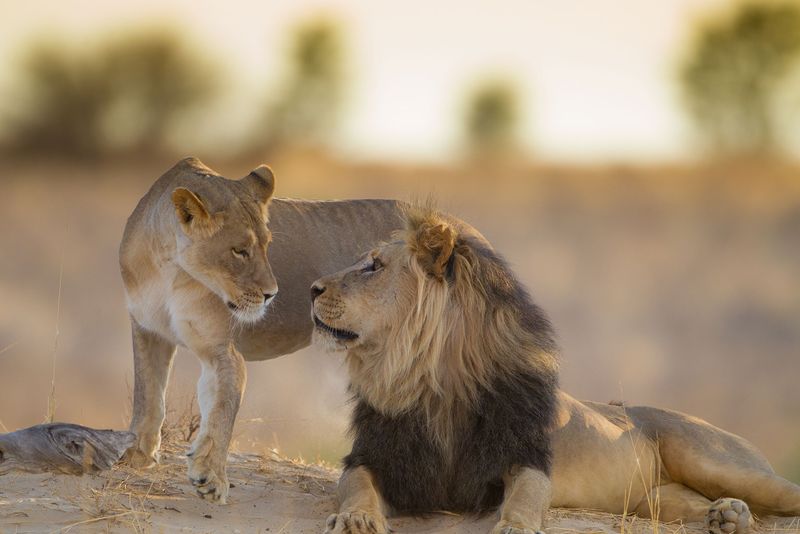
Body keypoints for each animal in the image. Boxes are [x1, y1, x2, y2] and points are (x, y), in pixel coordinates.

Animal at [120, 157, 406, 503]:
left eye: (267, 246)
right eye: (239, 251)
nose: (272, 294)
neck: (170, 267)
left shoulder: (222, 351)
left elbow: (222, 410)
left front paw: (210, 476)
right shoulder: (148, 330)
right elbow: (148, 394)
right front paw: (137, 455)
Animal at [310, 207, 800, 534]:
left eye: (373, 266)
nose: (311, 288)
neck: (431, 381)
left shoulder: (526, 458)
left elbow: (526, 496)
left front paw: (514, 526)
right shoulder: (374, 459)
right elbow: (357, 487)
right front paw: (356, 518)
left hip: (714, 460)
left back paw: (734, 512)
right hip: (658, 501)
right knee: (705, 507)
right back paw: (729, 516)